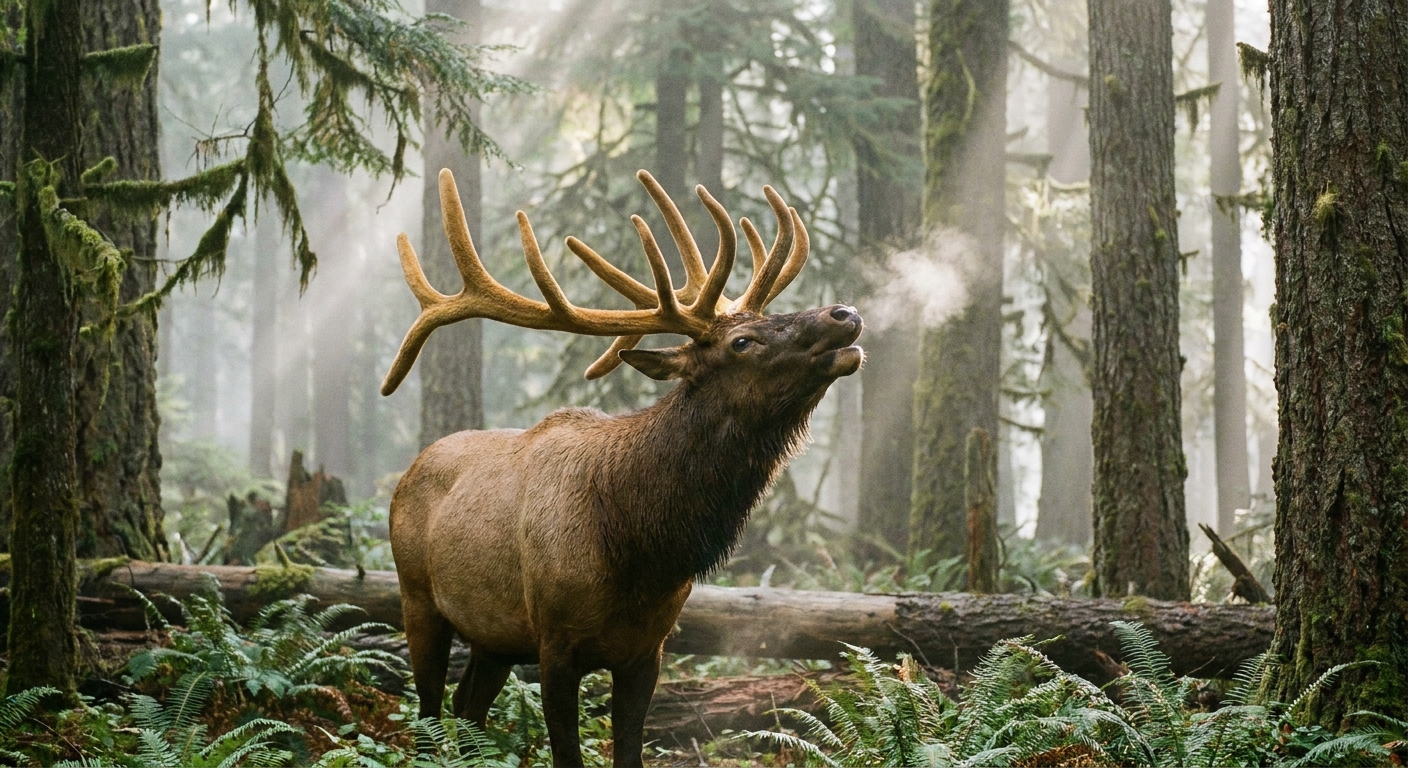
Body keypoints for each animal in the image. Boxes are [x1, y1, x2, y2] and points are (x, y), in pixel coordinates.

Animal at [382, 167, 863, 766]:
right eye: (742, 341)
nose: (845, 313)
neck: (639, 550)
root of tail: (407, 474)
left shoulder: (647, 650)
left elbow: (630, 750)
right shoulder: (555, 645)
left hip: (494, 636)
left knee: (467, 707)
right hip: (417, 598)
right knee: (428, 713)